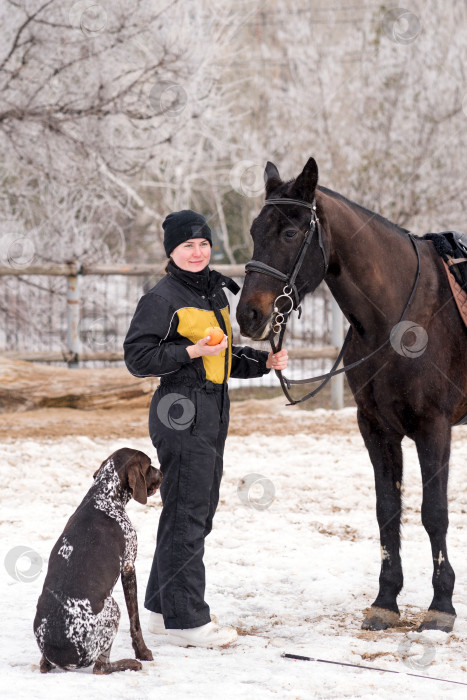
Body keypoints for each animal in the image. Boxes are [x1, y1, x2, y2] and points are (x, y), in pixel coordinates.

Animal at [33, 448, 163, 672]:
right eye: (149, 465)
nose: (162, 473)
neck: (103, 497)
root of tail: (62, 656)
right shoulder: (128, 567)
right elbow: (135, 621)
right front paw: (143, 652)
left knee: (44, 664)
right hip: (113, 608)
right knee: (100, 668)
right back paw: (130, 663)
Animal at [238, 157, 467, 636]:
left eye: (290, 233)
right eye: (254, 230)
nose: (249, 314)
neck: (400, 319)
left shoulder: (434, 428)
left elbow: (434, 512)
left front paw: (441, 606)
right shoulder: (375, 428)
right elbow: (388, 511)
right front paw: (385, 601)